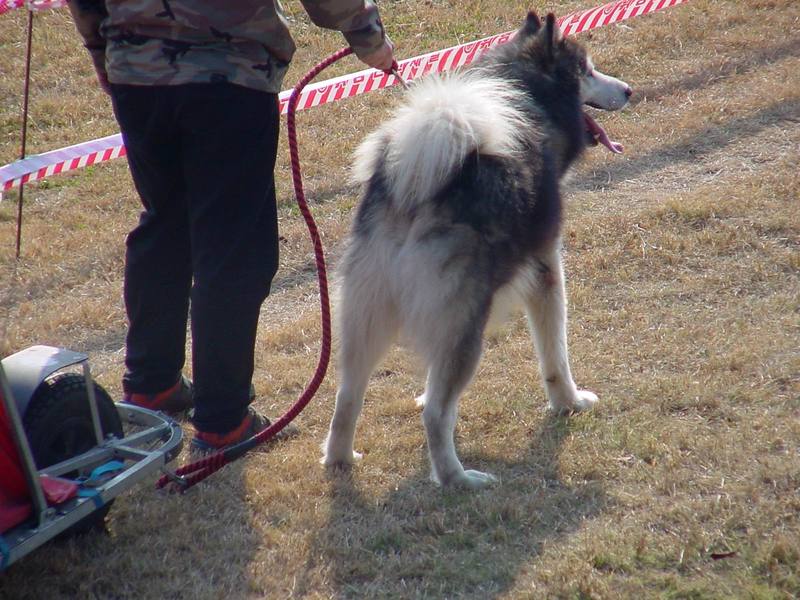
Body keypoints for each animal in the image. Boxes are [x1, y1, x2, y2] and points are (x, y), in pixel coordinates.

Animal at [324, 11, 632, 488]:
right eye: (586, 71)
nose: (629, 90)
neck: (526, 97)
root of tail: (412, 195)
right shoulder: (546, 270)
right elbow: (555, 355)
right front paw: (569, 402)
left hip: (367, 317)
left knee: (347, 397)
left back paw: (340, 460)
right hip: (466, 325)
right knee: (436, 415)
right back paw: (459, 480)